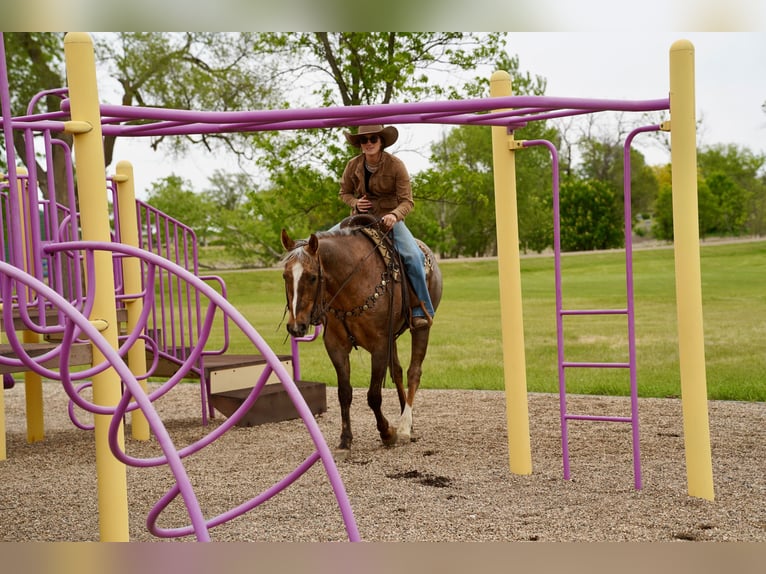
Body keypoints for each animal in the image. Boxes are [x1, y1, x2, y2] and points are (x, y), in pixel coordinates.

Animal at [280, 219, 442, 453]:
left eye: (312, 277)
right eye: (285, 275)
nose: (296, 327)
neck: (351, 281)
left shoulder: (379, 345)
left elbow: (373, 395)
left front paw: (387, 432)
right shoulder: (336, 346)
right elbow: (344, 393)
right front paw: (345, 439)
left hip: (421, 328)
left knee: (414, 372)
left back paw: (404, 427)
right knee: (398, 372)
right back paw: (407, 421)